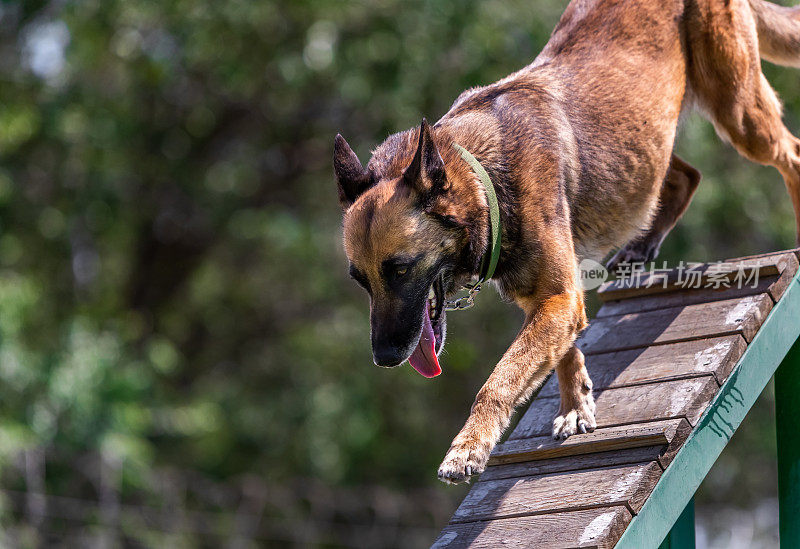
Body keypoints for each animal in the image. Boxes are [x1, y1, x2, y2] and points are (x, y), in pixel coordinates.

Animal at [330, 0, 800, 482]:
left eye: (400, 268)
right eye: (361, 281)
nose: (385, 357)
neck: (485, 178)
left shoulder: (558, 297)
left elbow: (500, 378)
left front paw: (468, 446)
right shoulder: (552, 299)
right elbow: (561, 353)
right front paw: (576, 404)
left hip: (739, 113)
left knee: (791, 153)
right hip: (645, 140)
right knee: (687, 175)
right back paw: (640, 247)